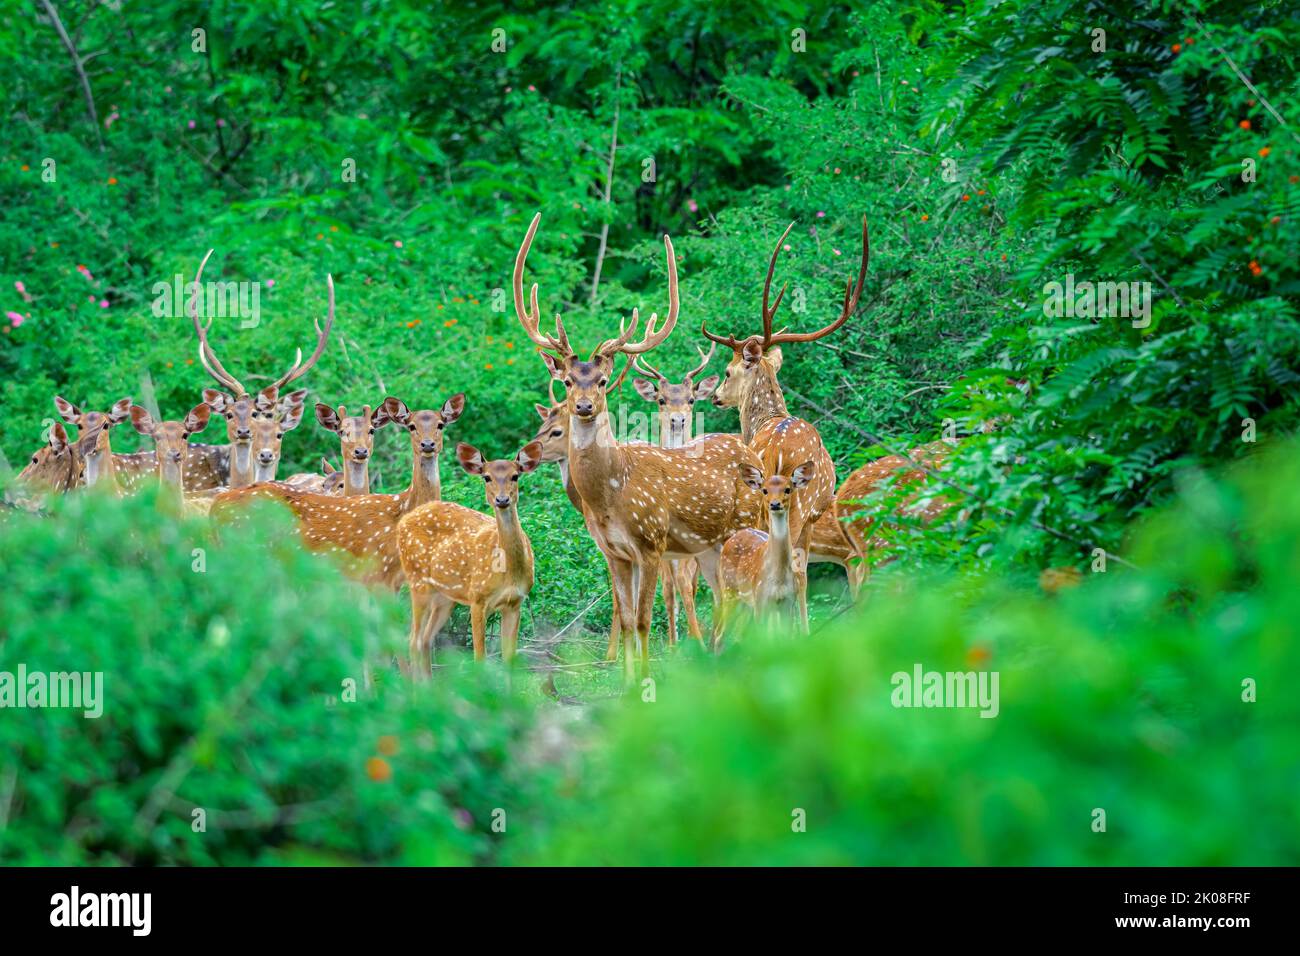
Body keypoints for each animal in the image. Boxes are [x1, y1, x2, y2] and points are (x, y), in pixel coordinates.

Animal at [212, 394, 465, 591]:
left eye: (441, 424)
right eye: (411, 426)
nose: (427, 444)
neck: (403, 510)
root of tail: (216, 506)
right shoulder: (378, 573)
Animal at [397, 441, 543, 675]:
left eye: (515, 476)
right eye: (487, 477)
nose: (502, 499)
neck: (508, 572)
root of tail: (403, 522)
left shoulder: (515, 603)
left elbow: (509, 662)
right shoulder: (477, 599)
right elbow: (479, 659)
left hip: (445, 597)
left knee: (424, 639)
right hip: (417, 581)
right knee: (412, 639)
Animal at [629, 344, 720, 646]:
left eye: (691, 399)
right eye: (661, 399)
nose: (677, 419)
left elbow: (685, 585)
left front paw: (695, 641)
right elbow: (669, 589)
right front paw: (672, 645)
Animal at [716, 459, 817, 648]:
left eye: (788, 489)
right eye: (764, 490)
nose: (775, 504)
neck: (778, 578)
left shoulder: (788, 601)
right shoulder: (761, 599)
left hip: (745, 602)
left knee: (736, 634)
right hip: (729, 589)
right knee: (720, 633)